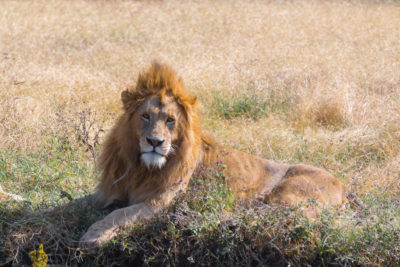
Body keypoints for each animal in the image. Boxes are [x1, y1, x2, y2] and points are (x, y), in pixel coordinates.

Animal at [79, 62, 354, 249]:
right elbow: (82, 204)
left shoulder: (160, 201)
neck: (142, 168)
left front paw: (93, 235)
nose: (155, 142)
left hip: (288, 194)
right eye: (145, 116)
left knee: (294, 217)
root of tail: (343, 186)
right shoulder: (110, 191)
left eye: (170, 120)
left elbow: (119, 214)